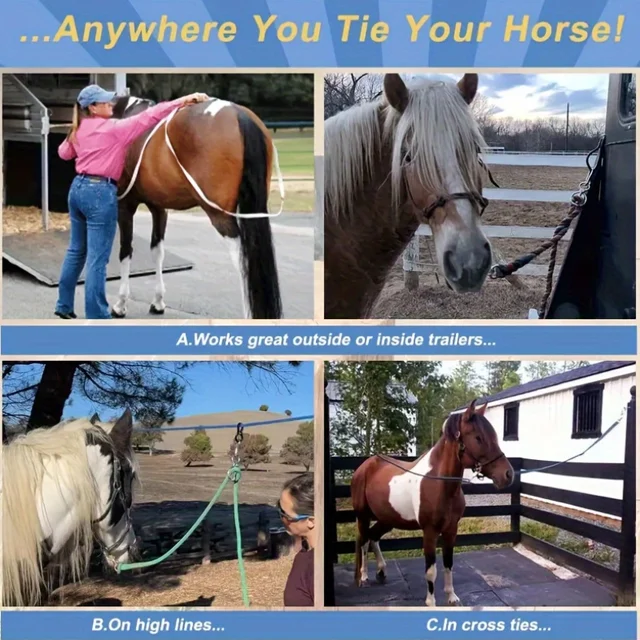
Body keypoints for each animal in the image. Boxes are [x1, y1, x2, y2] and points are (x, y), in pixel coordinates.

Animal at [109, 94, 283, 320]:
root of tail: (239, 115)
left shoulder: (125, 206)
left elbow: (125, 251)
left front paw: (120, 305)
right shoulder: (159, 208)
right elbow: (157, 252)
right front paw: (158, 302)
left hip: (220, 216)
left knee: (242, 259)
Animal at [350, 399, 514, 607]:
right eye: (478, 438)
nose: (508, 474)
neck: (439, 483)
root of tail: (364, 466)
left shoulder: (451, 530)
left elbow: (448, 563)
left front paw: (452, 597)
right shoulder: (430, 532)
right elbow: (431, 570)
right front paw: (431, 602)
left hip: (387, 518)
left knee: (373, 537)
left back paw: (381, 571)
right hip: (363, 516)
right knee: (363, 541)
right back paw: (363, 577)